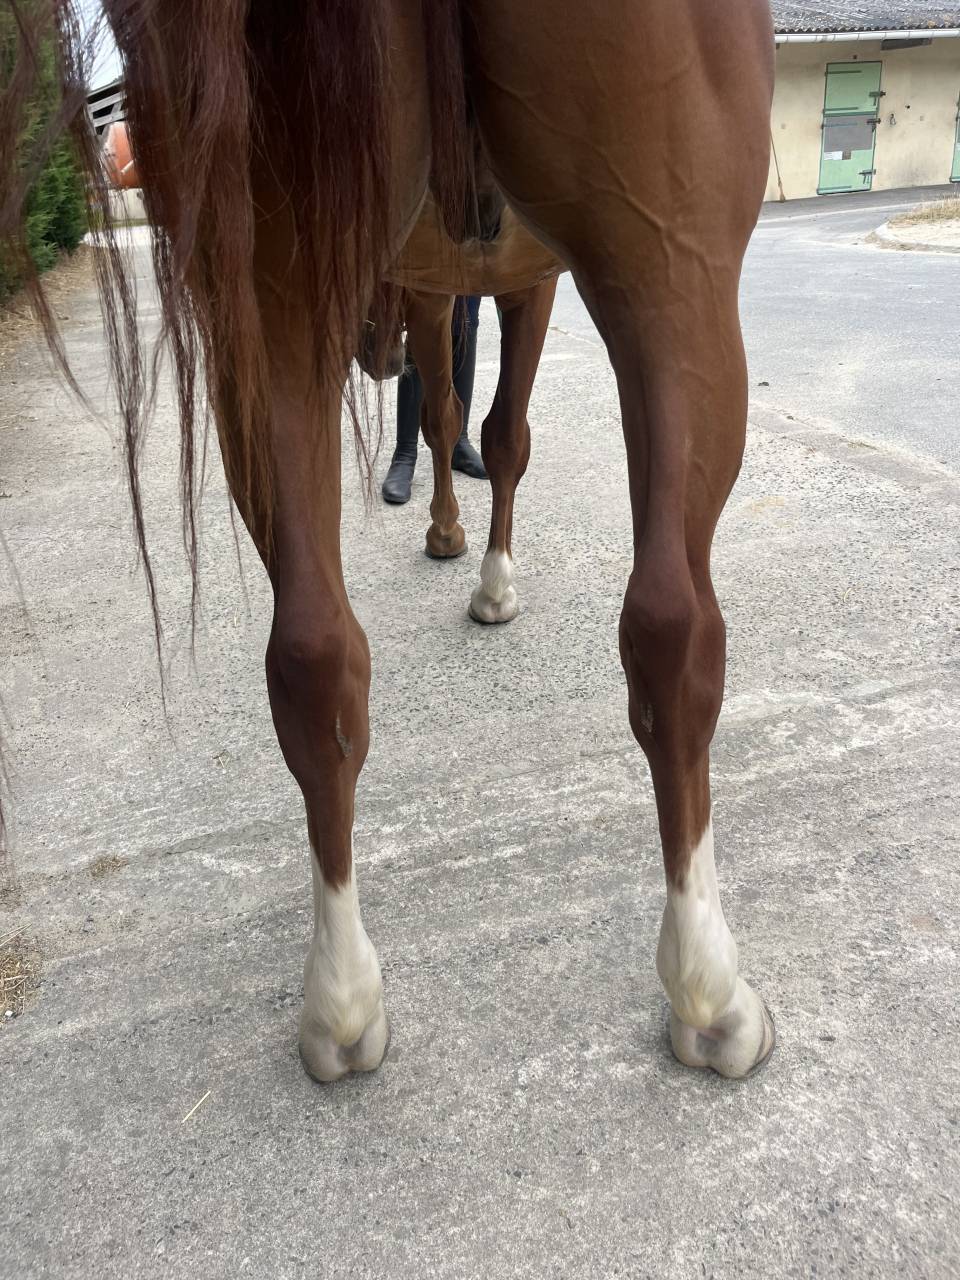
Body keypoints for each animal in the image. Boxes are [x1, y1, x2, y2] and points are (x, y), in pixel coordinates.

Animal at [1, 0, 776, 1084]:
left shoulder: (432, 279)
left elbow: (449, 409)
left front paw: (455, 537)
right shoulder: (529, 279)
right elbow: (497, 428)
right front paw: (489, 575)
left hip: (266, 280)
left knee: (312, 653)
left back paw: (339, 997)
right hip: (673, 266)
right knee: (673, 627)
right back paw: (709, 989)